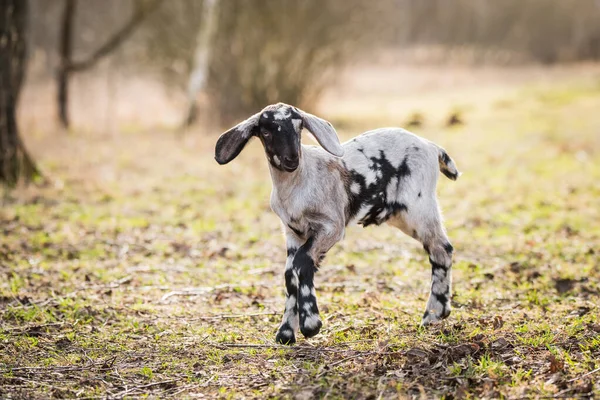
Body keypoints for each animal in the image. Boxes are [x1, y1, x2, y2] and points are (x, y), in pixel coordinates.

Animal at [216, 102, 460, 344]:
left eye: (298, 127)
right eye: (266, 132)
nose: (292, 159)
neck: (299, 182)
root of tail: (431, 147)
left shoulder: (331, 226)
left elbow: (302, 262)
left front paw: (311, 324)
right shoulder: (293, 232)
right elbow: (289, 275)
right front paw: (285, 332)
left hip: (418, 208)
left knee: (441, 249)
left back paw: (433, 314)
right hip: (404, 215)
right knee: (440, 249)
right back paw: (438, 314)